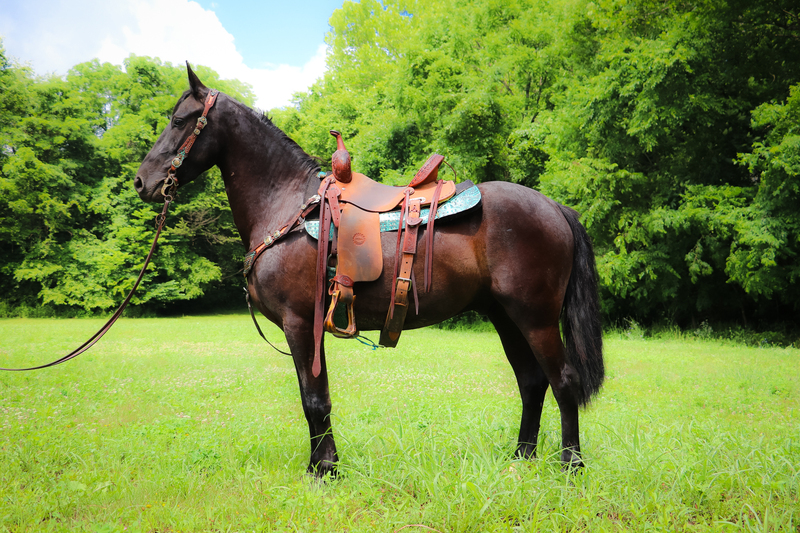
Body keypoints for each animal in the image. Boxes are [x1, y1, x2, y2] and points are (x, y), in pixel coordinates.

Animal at [135, 66, 604, 477]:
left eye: (179, 120)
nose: (141, 181)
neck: (286, 204)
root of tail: (555, 207)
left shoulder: (299, 323)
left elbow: (315, 401)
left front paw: (324, 471)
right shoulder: (307, 327)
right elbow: (313, 397)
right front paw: (323, 465)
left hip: (535, 318)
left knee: (563, 382)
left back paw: (571, 466)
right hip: (505, 316)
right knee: (532, 382)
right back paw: (521, 459)